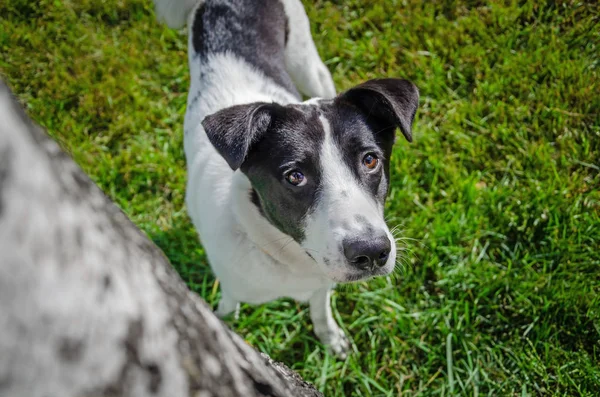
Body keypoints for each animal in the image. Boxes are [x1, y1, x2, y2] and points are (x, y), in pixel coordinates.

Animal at [154, 0, 418, 356]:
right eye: (295, 176)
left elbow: (320, 308)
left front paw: (330, 338)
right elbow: (229, 307)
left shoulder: (322, 281)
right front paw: (225, 325)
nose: (373, 252)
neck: (287, 255)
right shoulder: (232, 283)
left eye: (370, 159)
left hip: (310, 65)